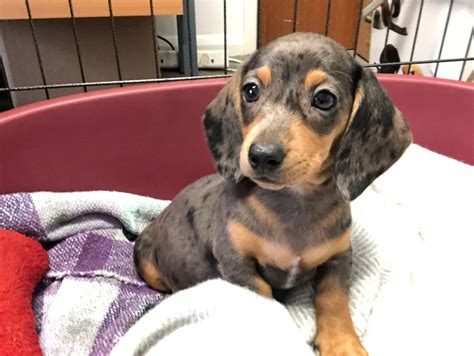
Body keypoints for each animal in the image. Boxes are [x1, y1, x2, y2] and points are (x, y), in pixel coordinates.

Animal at [133, 32, 412, 354]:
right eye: (251, 90)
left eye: (324, 99)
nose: (262, 156)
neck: (294, 204)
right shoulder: (237, 262)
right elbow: (263, 296)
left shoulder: (339, 255)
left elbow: (333, 299)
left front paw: (343, 344)